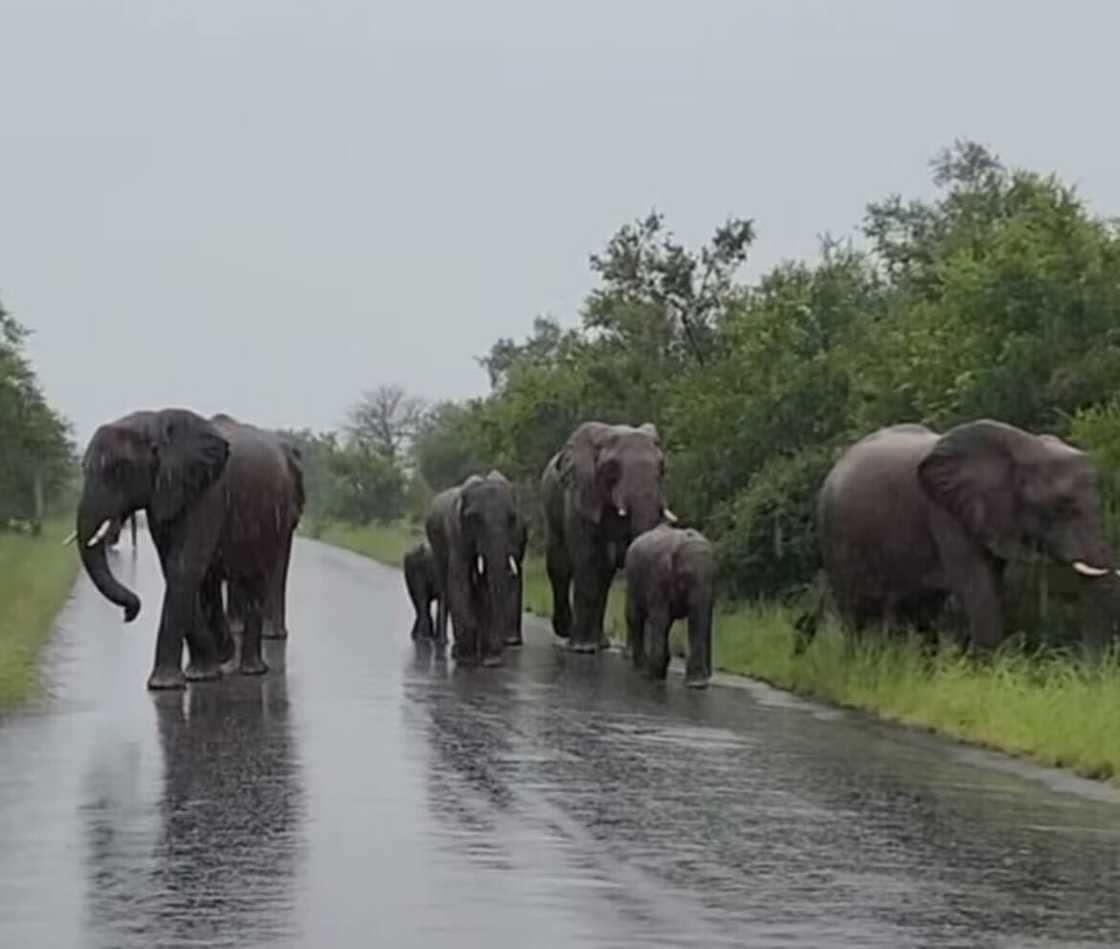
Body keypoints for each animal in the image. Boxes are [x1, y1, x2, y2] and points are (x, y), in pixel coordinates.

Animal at [75, 408, 302, 689]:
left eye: (118, 470)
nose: (129, 613)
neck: (154, 422)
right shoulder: (166, 493)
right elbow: (175, 569)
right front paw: (207, 669)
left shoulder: (209, 492)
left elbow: (183, 567)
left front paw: (163, 684)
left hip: (273, 518)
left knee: (256, 580)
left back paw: (252, 669)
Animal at [425, 471, 528, 665]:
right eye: (474, 519)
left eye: (512, 518)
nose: (494, 659)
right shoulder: (457, 532)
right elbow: (459, 580)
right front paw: (466, 656)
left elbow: (488, 584)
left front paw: (490, 657)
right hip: (436, 544)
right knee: (445, 587)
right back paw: (445, 643)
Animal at [541, 421, 675, 652]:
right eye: (612, 467)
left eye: (662, 468)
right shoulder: (579, 494)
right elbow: (587, 559)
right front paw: (582, 648)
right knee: (560, 566)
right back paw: (568, 633)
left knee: (604, 575)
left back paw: (601, 643)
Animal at [624, 523, 714, 688]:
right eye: (686, 576)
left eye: (714, 576)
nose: (707, 677)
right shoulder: (658, 577)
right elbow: (661, 618)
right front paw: (655, 677)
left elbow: (698, 621)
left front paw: (696, 684)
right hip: (632, 578)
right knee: (636, 617)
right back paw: (643, 668)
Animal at [801, 419, 1116, 652]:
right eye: (1062, 506)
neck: (1025, 447)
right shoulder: (946, 515)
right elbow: (978, 588)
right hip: (834, 531)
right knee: (857, 609)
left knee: (918, 609)